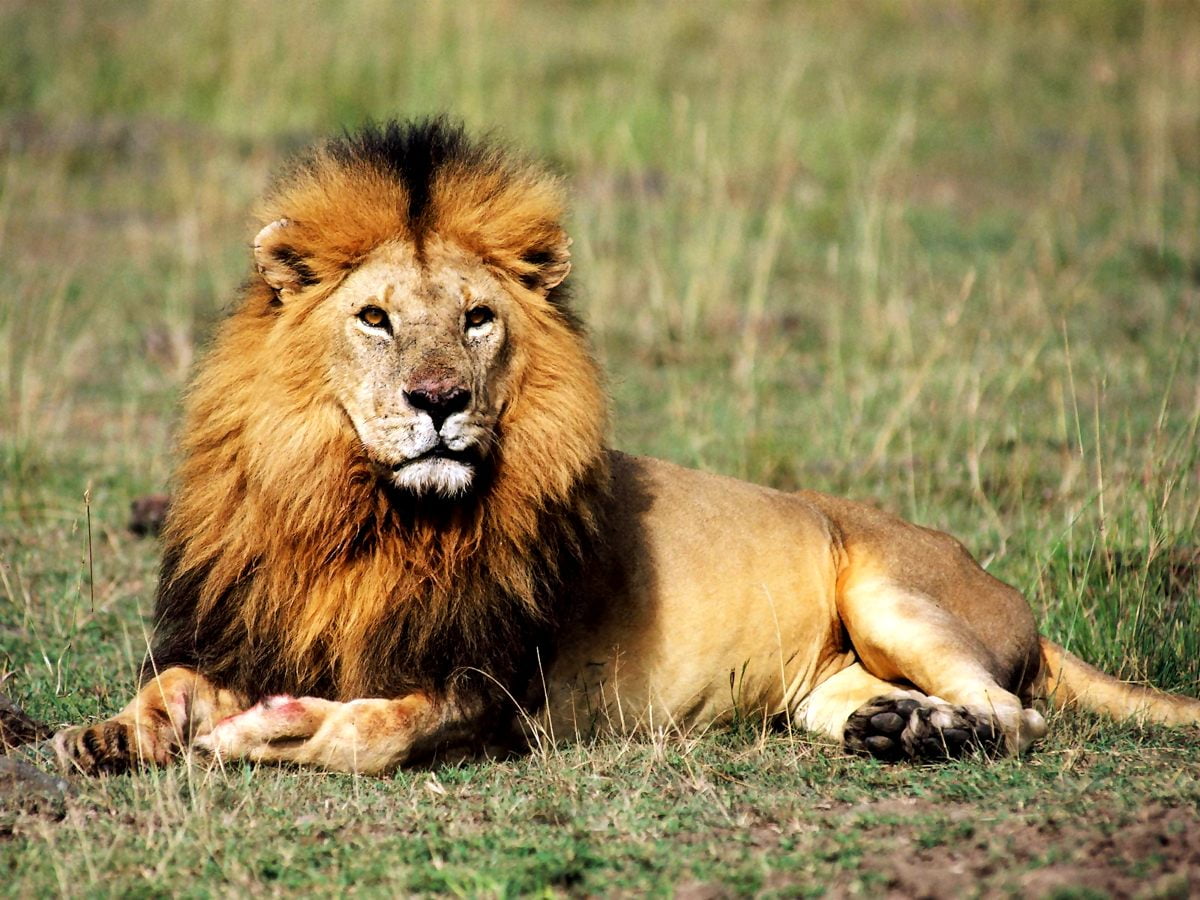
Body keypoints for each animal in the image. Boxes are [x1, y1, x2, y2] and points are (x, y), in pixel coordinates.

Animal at [54, 119, 1200, 776]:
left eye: (477, 318)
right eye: (375, 319)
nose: (439, 400)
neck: (364, 515)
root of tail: (1008, 591)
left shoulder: (493, 693)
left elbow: (368, 734)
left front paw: (271, 733)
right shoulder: (255, 626)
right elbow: (167, 688)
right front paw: (103, 734)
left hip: (892, 591)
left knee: (1017, 713)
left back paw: (941, 735)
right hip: (825, 682)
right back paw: (899, 729)